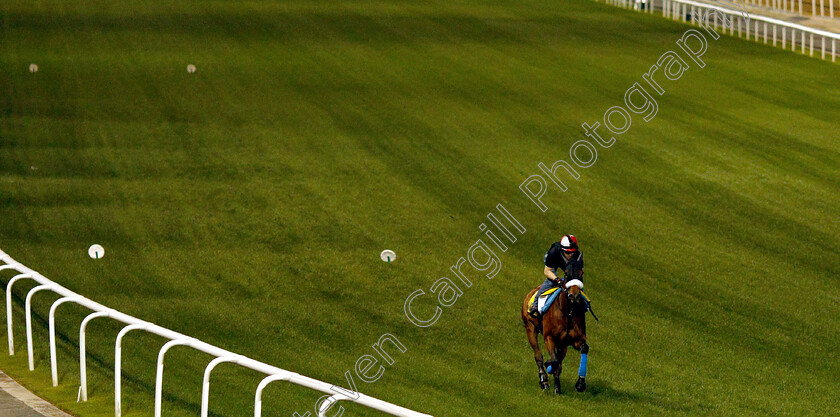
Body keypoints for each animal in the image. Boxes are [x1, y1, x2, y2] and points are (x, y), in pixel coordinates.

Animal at [520, 260, 592, 394]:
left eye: (582, 273)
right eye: (566, 273)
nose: (574, 296)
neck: (568, 312)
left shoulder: (572, 340)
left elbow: (584, 348)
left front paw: (580, 384)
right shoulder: (549, 337)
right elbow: (553, 360)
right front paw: (549, 366)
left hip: (562, 345)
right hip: (530, 328)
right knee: (538, 355)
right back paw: (544, 380)